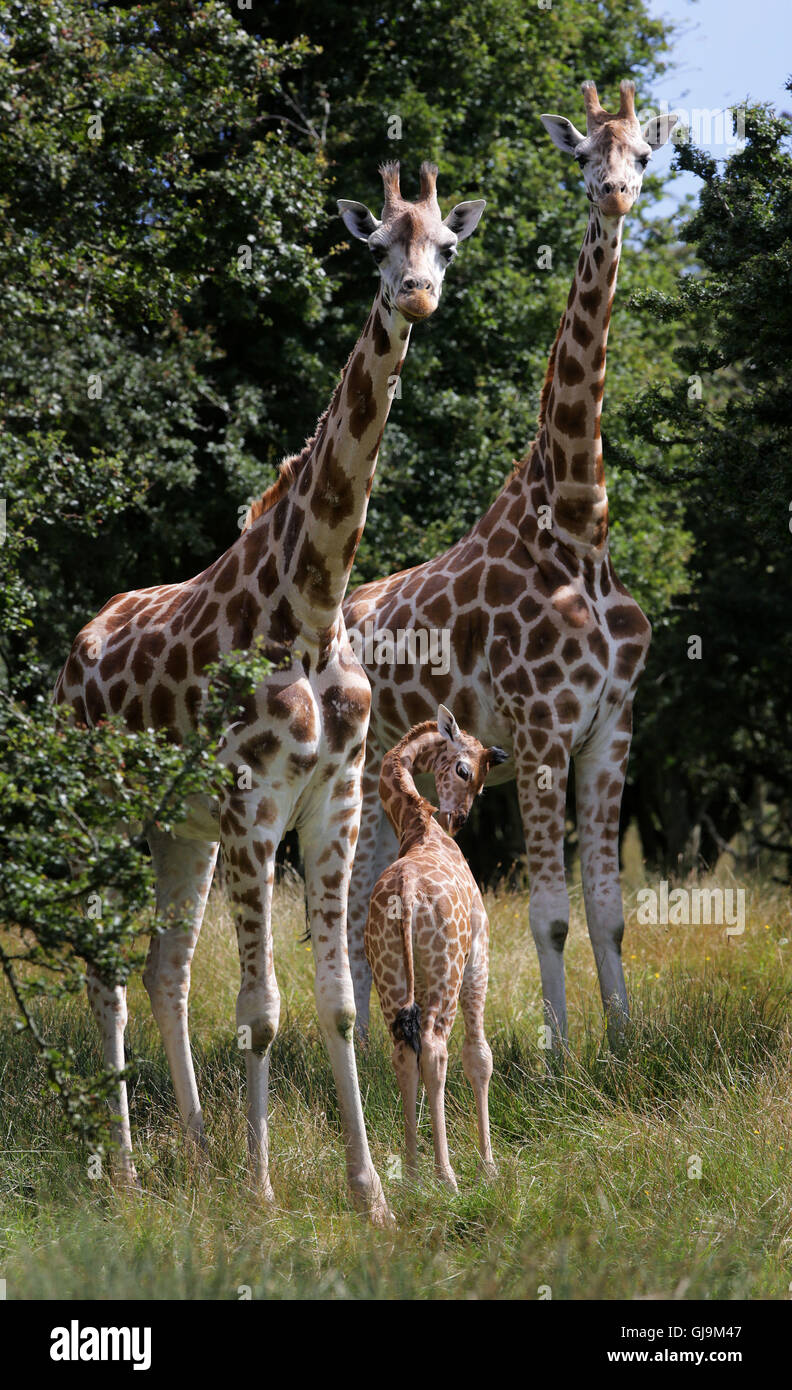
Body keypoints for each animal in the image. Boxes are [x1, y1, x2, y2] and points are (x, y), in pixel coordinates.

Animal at [53, 162, 480, 1223]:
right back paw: (131, 1171)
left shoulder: (331, 800)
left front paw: (369, 1194)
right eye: (379, 245)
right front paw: (264, 1192)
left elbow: (337, 1003)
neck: (314, 603)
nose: (416, 295)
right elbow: (260, 1013)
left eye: (446, 244)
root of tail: (73, 655)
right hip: (109, 818)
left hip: (181, 831)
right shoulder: (254, 803)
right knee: (105, 974)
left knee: (163, 969)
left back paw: (199, 1152)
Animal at [341, 76, 675, 1045]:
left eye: (645, 153)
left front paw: (623, 1045)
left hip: (388, 754)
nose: (614, 193)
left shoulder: (611, 729)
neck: (580, 530)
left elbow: (609, 908)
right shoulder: (537, 731)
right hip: (348, 762)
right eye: (583, 153)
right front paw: (559, 1056)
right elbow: (549, 912)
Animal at [364, 706, 505, 1195]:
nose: (458, 818)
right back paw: (447, 1176)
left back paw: (411, 1175)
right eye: (464, 770)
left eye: (482, 784)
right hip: (447, 973)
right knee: (437, 1048)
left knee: (404, 1052)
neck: (418, 826)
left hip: (390, 978)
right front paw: (489, 1166)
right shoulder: (479, 954)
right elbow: (479, 1057)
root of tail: (407, 895)